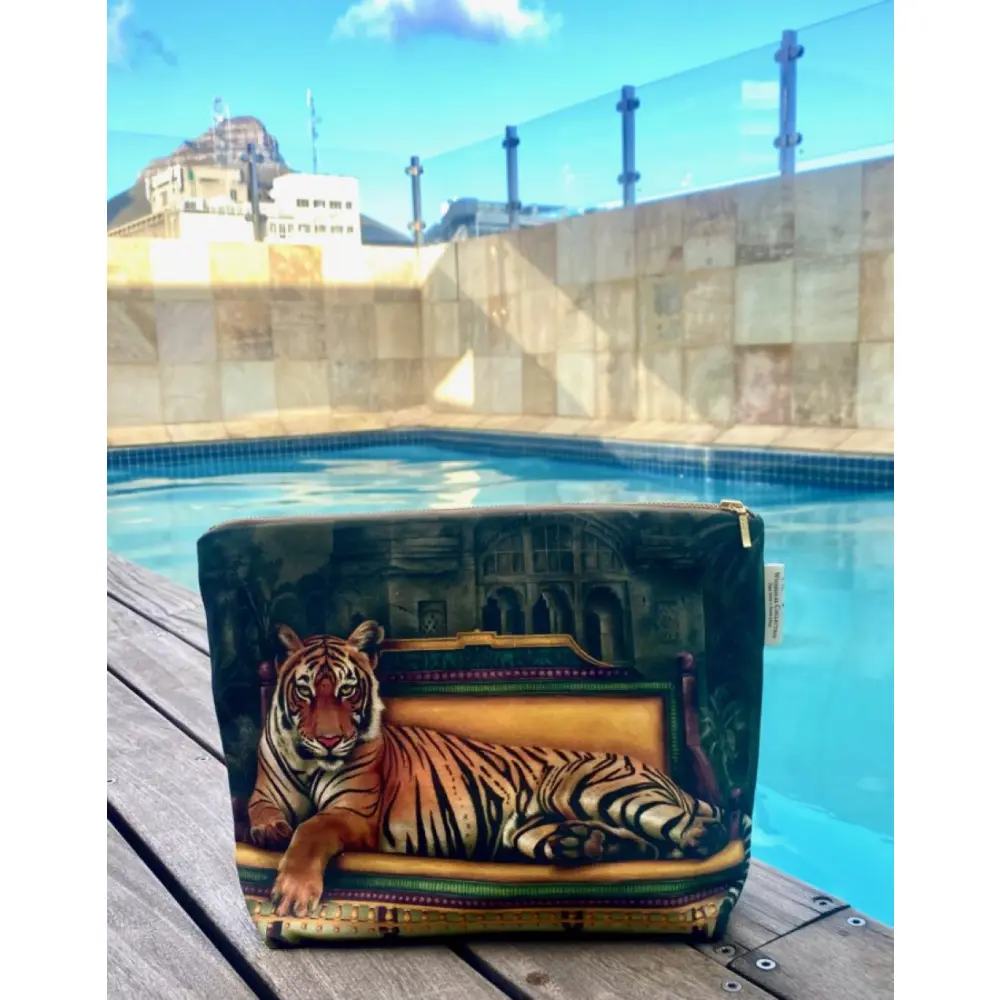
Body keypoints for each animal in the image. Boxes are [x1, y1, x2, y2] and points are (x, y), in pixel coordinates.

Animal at [247, 620, 728, 917]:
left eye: (348, 690)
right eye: (305, 691)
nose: (330, 740)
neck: (310, 762)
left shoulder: (353, 814)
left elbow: (312, 829)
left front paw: (292, 893)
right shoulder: (263, 794)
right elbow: (263, 813)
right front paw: (270, 832)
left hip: (581, 786)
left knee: (693, 830)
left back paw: (693, 834)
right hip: (529, 830)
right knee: (642, 845)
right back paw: (586, 845)